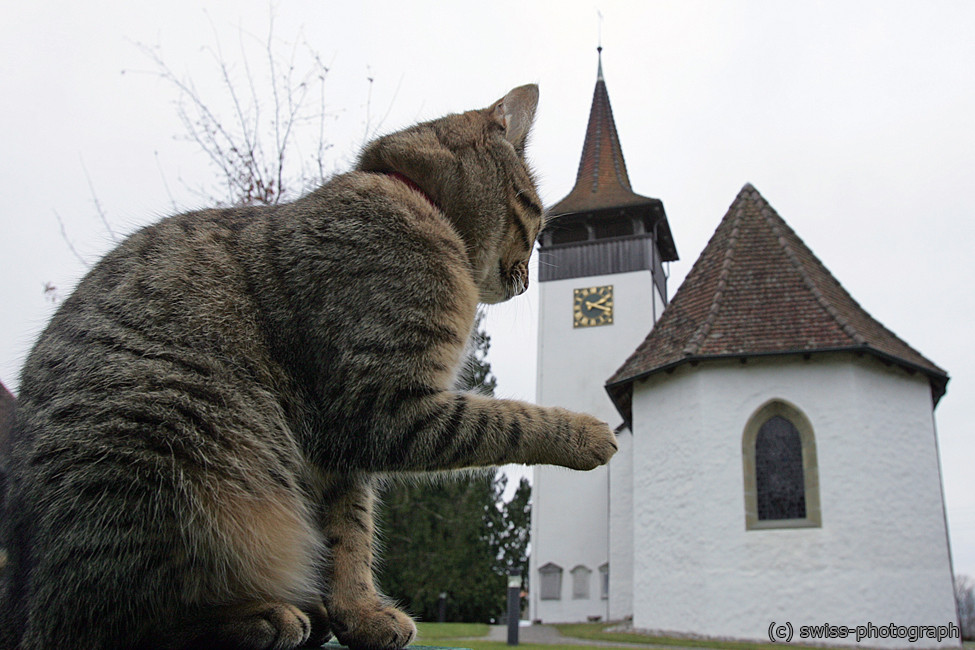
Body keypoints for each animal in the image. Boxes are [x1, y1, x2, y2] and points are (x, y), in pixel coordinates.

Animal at [0, 85, 616, 648]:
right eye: (533, 214)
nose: (526, 279)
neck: (417, 202)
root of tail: (26, 601)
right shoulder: (377, 407)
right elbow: (506, 420)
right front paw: (586, 433)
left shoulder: (339, 454)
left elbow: (350, 538)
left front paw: (360, 615)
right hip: (192, 450)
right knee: (121, 621)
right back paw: (260, 616)